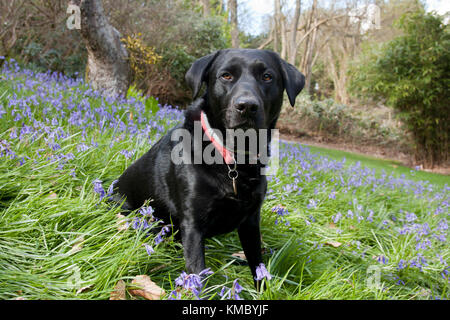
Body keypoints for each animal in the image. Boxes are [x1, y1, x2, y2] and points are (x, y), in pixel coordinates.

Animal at [110, 48, 304, 282]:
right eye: (226, 75)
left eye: (267, 77)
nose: (247, 106)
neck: (234, 160)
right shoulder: (193, 224)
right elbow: (198, 272)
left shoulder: (251, 223)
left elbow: (258, 267)